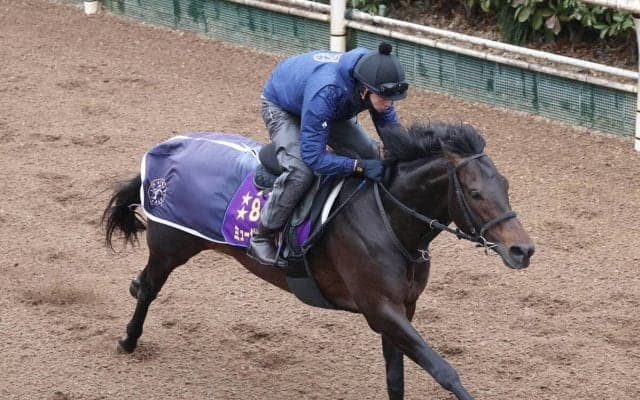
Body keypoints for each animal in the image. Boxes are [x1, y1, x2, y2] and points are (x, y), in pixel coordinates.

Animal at [102, 121, 535, 400]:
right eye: (476, 193)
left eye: (506, 185)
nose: (523, 250)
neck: (389, 220)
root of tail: (166, 147)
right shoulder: (379, 309)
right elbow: (443, 370)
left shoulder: (401, 310)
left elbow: (396, 377)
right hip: (171, 243)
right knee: (148, 287)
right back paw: (128, 340)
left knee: (144, 285)